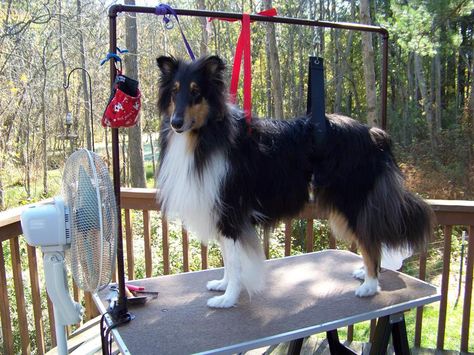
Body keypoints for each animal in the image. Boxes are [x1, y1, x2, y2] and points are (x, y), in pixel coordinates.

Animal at [156, 55, 434, 308]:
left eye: (196, 92)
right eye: (175, 92)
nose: (176, 123)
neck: (207, 134)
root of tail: (373, 134)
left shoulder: (231, 211)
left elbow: (235, 262)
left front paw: (228, 299)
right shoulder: (220, 212)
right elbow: (228, 258)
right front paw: (222, 285)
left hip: (351, 202)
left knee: (370, 241)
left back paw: (369, 285)